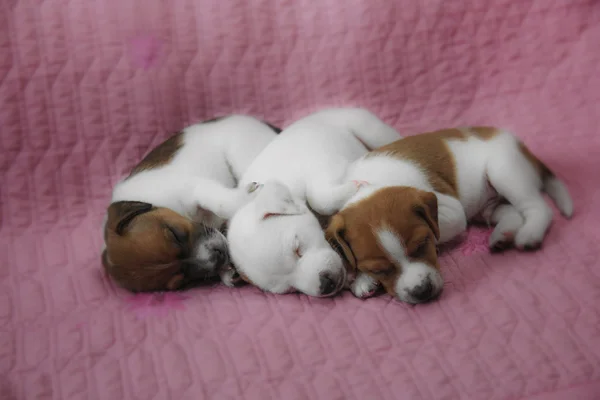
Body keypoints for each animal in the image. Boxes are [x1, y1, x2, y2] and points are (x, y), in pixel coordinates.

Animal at [103, 115, 282, 290]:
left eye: (174, 234)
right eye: (181, 280)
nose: (219, 255)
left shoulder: (195, 188)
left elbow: (220, 204)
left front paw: (248, 197)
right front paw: (227, 271)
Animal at [192, 108, 404, 296]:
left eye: (297, 249)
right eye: (289, 289)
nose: (326, 284)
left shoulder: (323, 165)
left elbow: (319, 198)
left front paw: (356, 188)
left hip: (369, 128)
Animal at [326, 126, 576, 304]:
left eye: (421, 245)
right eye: (379, 270)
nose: (422, 292)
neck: (368, 185)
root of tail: (522, 146)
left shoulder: (452, 212)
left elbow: (438, 230)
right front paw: (363, 278)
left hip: (504, 172)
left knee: (537, 207)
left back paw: (530, 233)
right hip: (488, 206)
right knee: (512, 213)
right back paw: (502, 236)